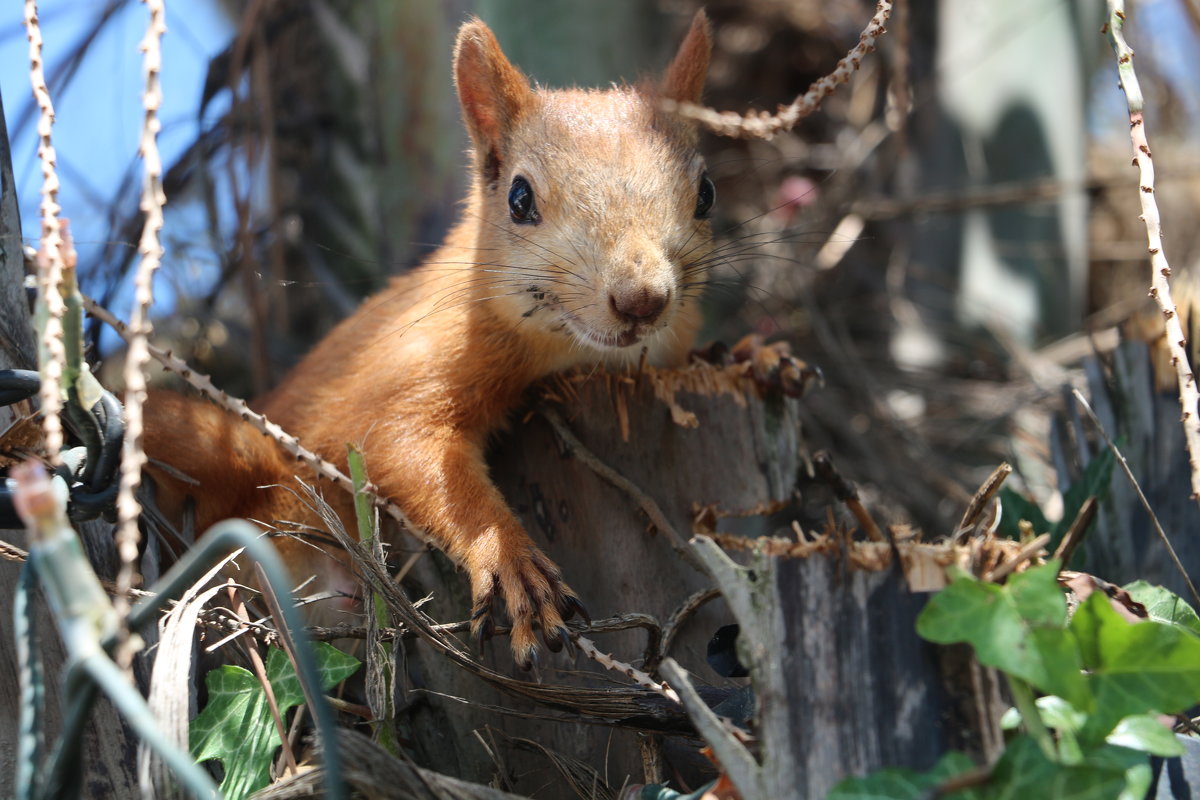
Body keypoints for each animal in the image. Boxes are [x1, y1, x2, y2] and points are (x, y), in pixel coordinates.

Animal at [145, 12, 715, 671]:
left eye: (707, 192)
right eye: (519, 198)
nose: (642, 299)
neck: (570, 352)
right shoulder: (412, 359)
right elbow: (401, 443)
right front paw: (510, 560)